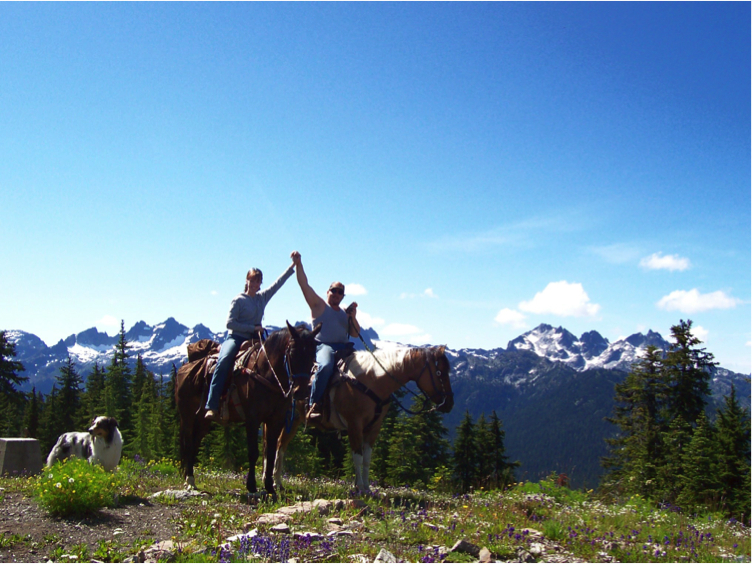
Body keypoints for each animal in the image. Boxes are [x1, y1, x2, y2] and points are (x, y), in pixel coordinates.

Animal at [176, 322, 320, 498]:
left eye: (313, 353)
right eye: (292, 352)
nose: (302, 392)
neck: (267, 374)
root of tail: (185, 367)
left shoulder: (276, 420)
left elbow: (270, 452)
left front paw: (270, 487)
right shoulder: (253, 419)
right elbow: (253, 452)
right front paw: (251, 486)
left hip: (203, 420)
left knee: (195, 443)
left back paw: (191, 480)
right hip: (187, 416)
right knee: (188, 443)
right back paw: (189, 481)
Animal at [272, 342, 456, 492]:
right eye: (439, 372)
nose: (449, 404)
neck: (372, 381)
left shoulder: (374, 427)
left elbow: (367, 458)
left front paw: (367, 487)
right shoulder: (354, 425)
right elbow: (357, 457)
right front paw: (359, 487)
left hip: (294, 420)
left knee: (281, 444)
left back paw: (277, 482)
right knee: (279, 445)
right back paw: (275, 481)